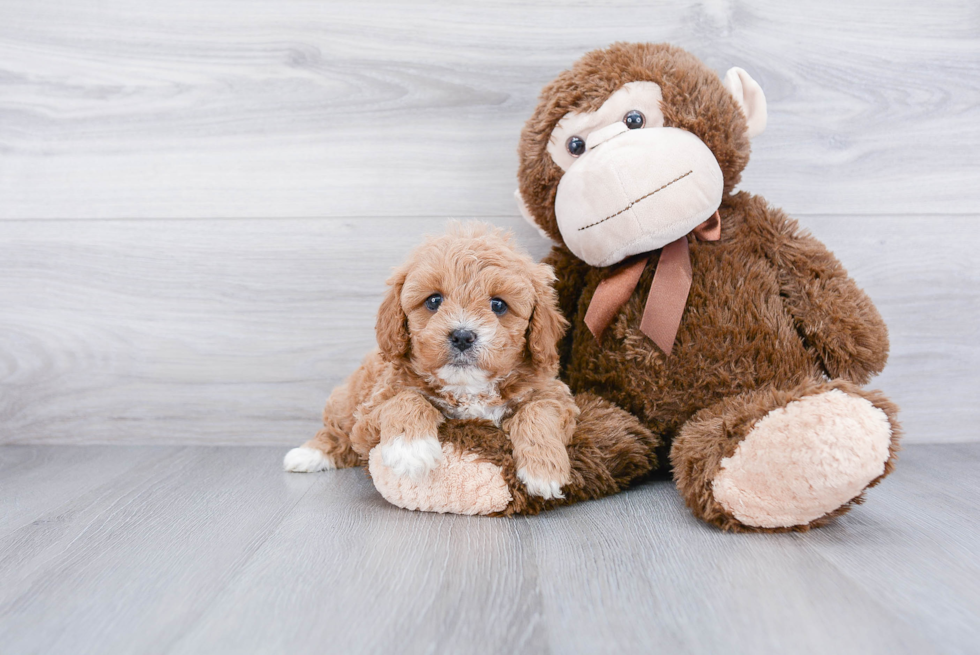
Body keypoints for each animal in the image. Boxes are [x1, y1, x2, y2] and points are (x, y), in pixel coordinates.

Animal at [284, 223, 580, 500]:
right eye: (434, 301)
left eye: (498, 305)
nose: (462, 336)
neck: (467, 388)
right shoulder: (369, 414)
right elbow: (407, 399)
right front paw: (410, 449)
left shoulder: (553, 393)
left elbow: (539, 411)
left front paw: (544, 470)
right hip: (347, 401)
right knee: (336, 432)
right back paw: (307, 454)